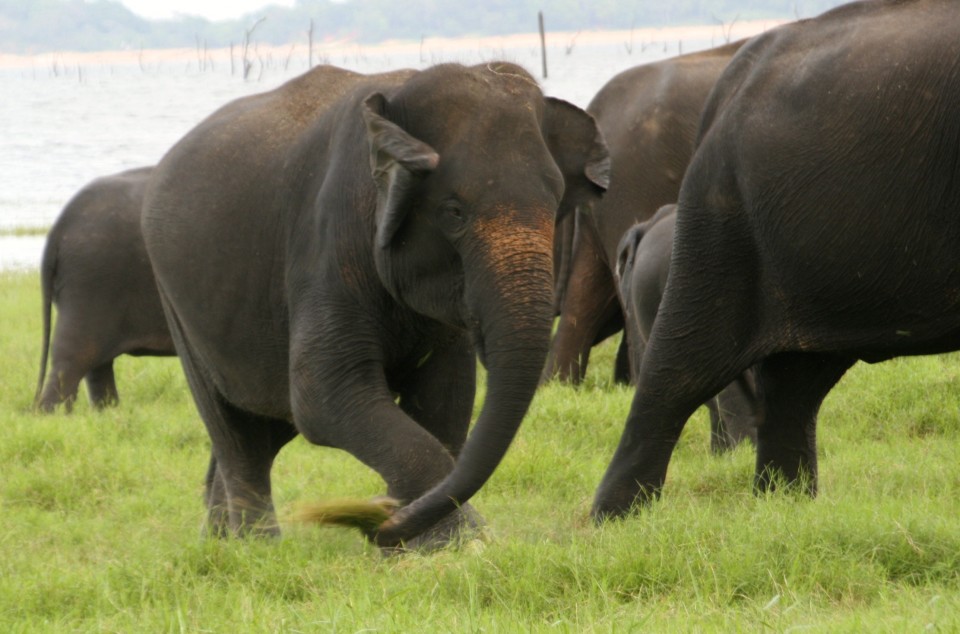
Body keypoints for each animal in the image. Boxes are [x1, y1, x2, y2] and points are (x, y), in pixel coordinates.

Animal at [33, 165, 174, 412]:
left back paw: (107, 413)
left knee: (96, 366)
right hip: (91, 283)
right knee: (74, 361)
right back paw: (53, 415)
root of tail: (58, 229)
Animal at [142, 61, 608, 552]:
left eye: (555, 205)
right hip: (177, 305)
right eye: (454, 212)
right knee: (236, 430)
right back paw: (258, 546)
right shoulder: (328, 243)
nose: (373, 523)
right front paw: (456, 541)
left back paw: (219, 542)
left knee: (264, 425)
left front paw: (419, 538)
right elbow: (322, 395)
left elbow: (447, 397)